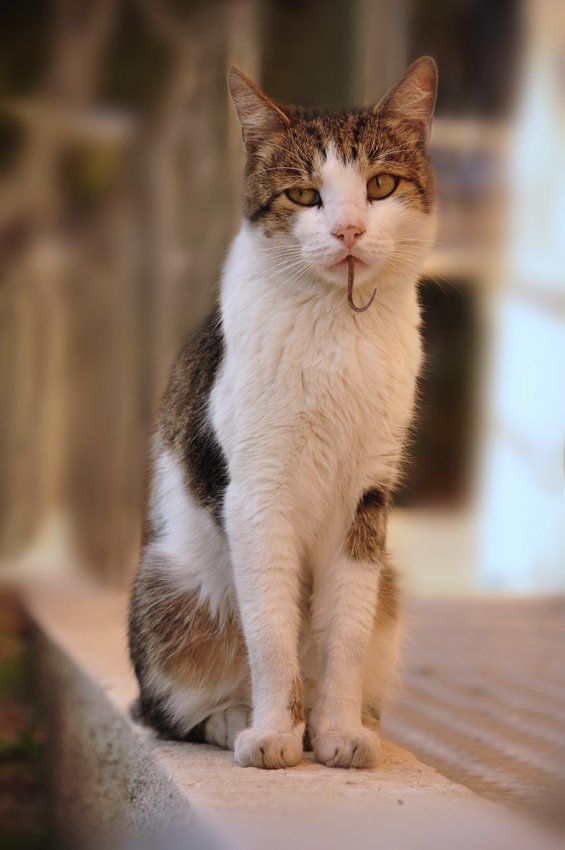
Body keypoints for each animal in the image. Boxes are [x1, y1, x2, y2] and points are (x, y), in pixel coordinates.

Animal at [128, 56, 436, 764]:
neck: (337, 327)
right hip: (169, 586)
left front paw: (339, 730)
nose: (348, 230)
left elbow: (345, 633)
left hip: (391, 587)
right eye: (303, 196)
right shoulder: (256, 492)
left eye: (380, 185)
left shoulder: (366, 497)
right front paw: (272, 733)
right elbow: (270, 630)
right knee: (165, 709)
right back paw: (232, 718)